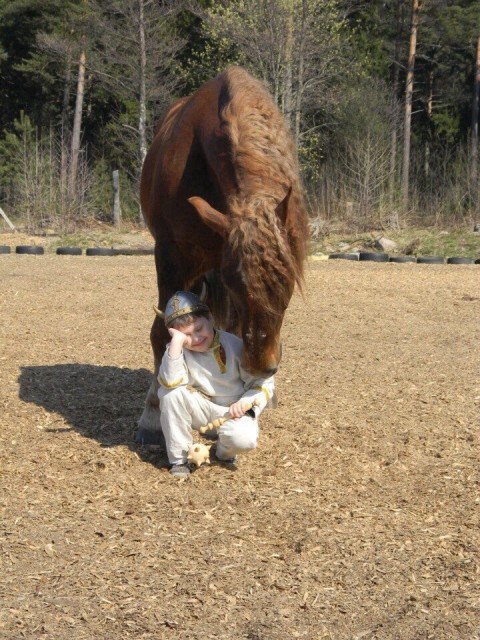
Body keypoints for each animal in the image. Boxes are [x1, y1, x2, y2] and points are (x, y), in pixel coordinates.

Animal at [136, 67, 308, 442]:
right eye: (234, 281)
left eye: (287, 280)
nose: (263, 364)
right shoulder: (171, 260)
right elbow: (163, 332)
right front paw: (152, 412)